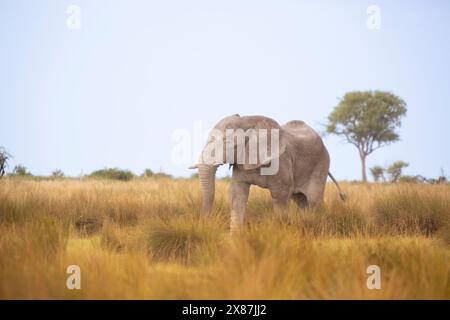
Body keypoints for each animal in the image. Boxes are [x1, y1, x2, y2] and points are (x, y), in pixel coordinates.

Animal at [188, 114, 346, 234]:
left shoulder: (281, 160)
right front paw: (235, 239)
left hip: (321, 163)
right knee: (301, 200)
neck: (248, 120)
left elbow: (280, 195)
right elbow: (237, 194)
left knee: (314, 200)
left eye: (231, 144)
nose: (206, 223)